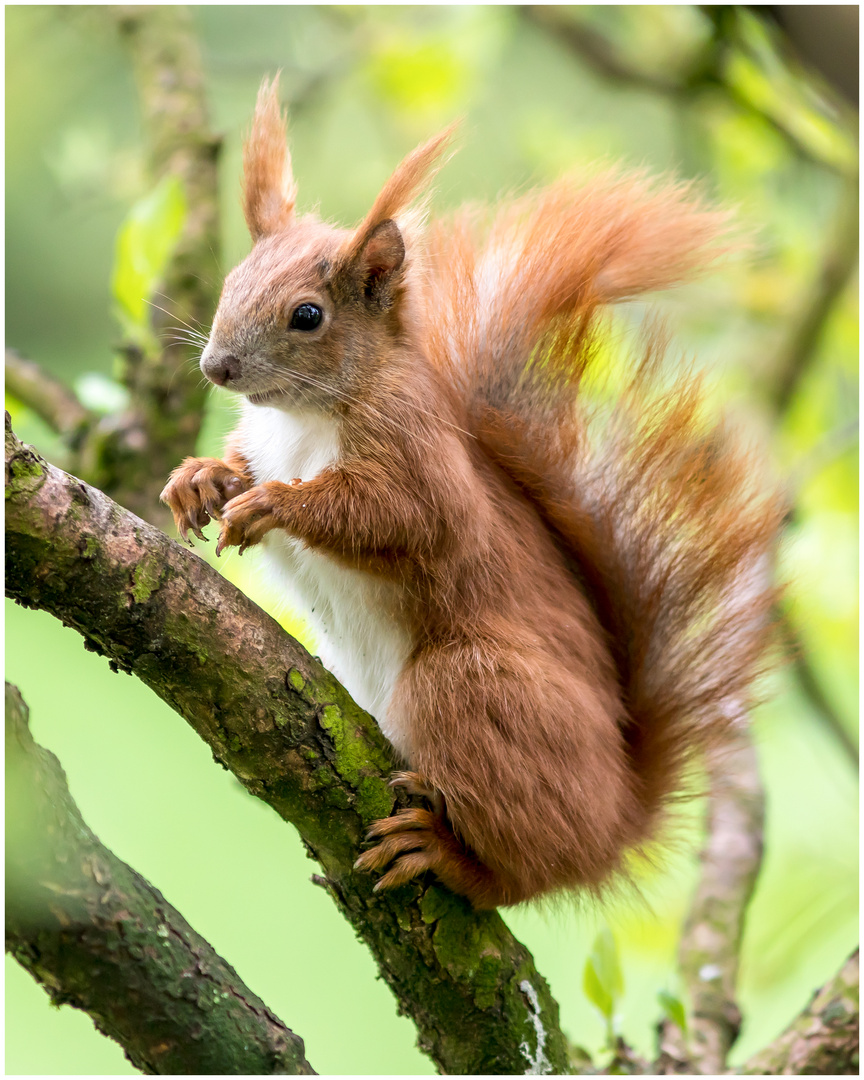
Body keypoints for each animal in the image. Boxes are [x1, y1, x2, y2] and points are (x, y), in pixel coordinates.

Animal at [162, 79, 781, 907]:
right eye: (231, 282)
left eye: (307, 315)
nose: (217, 368)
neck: (303, 416)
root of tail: (618, 820)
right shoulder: (265, 442)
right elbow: (241, 464)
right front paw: (199, 478)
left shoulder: (420, 457)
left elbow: (400, 517)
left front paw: (274, 506)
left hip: (467, 690)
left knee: (525, 871)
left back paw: (448, 854)